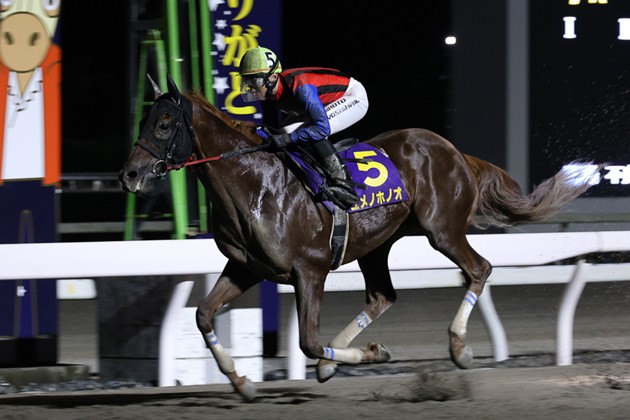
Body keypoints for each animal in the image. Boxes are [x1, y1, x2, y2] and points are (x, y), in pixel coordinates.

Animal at [119, 76, 597, 401]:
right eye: (142, 119)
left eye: (164, 123)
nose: (130, 175)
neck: (253, 183)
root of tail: (454, 151)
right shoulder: (246, 267)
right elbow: (203, 315)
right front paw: (242, 382)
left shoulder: (309, 270)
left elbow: (308, 340)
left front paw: (370, 355)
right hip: (378, 243)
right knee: (383, 295)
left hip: (441, 229)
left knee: (478, 268)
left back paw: (459, 348)